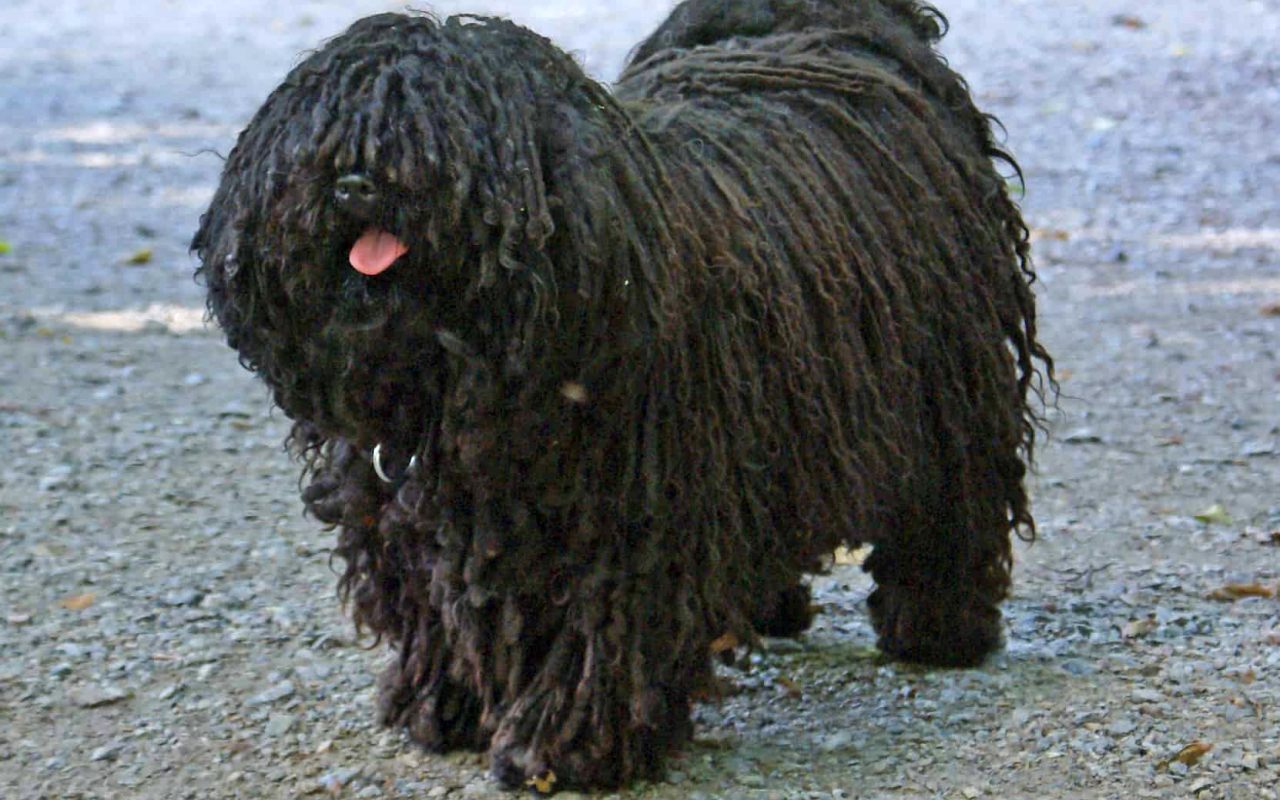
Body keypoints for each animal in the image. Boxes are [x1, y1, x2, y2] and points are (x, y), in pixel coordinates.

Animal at [189, 0, 1049, 788]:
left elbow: (604, 634)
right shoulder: (403, 510)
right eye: (323, 136)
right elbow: (437, 610)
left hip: (949, 388)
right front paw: (445, 704)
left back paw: (938, 627)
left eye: (439, 139)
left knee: (951, 510)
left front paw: (565, 749)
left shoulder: (631, 520)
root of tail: (845, 36)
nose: (355, 184)